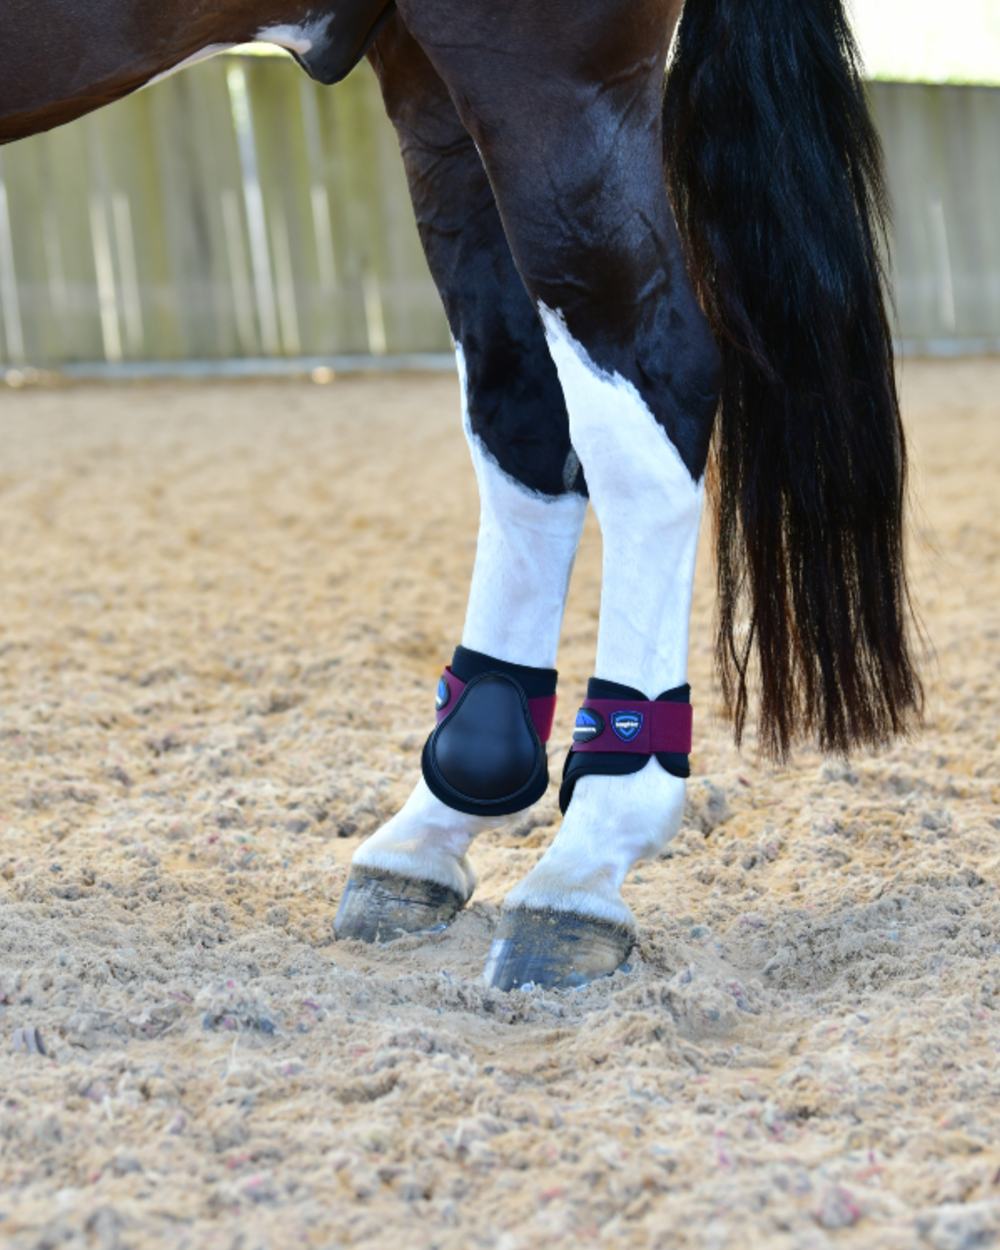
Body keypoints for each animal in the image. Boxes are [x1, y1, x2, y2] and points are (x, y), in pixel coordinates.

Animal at [0, 0, 922, 991]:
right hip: (432, 93)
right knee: (520, 398)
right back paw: (437, 824)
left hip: (545, 78)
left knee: (648, 386)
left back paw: (584, 862)